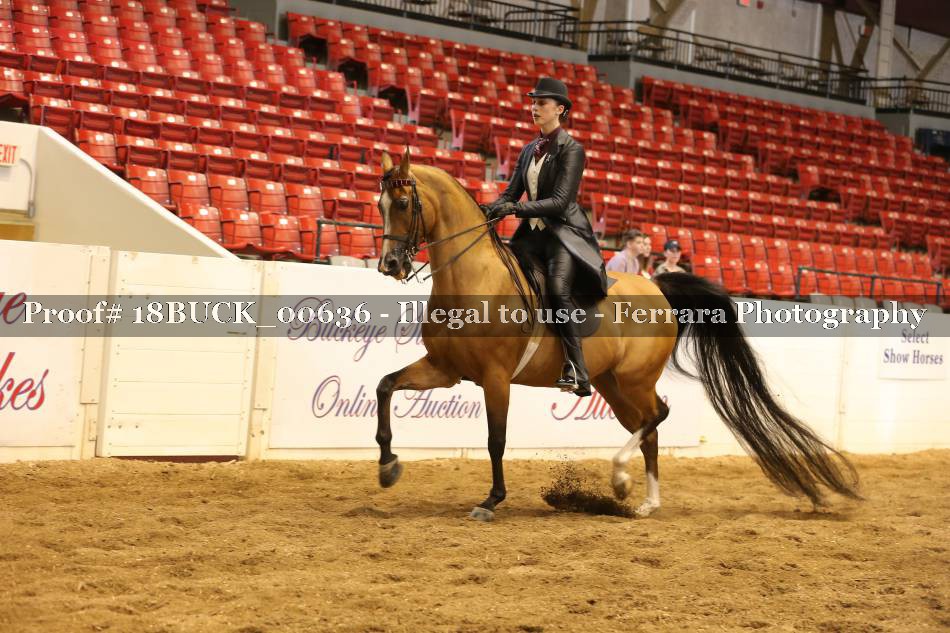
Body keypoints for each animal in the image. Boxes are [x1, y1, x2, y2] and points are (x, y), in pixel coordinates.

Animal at [374, 148, 860, 521]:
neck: (474, 279)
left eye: (403, 204)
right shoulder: (445, 369)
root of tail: (657, 287)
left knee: (657, 416)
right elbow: (385, 385)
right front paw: (387, 465)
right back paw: (646, 502)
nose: (389, 265)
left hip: (634, 379)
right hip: (612, 384)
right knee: (649, 430)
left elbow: (496, 440)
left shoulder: (495, 378)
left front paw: (491, 501)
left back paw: (622, 480)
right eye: (379, 205)